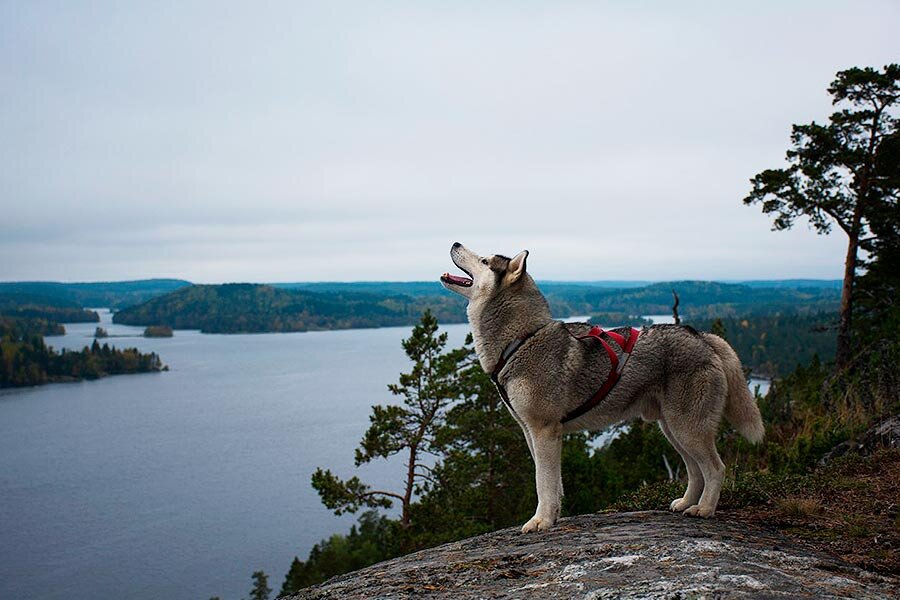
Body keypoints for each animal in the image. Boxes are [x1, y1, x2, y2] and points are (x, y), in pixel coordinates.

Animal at [440, 244, 764, 536]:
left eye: (484, 259)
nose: (454, 243)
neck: (520, 340)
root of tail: (704, 337)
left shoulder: (544, 431)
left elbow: (542, 482)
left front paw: (540, 521)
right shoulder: (531, 433)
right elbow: (551, 483)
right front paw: (553, 515)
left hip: (688, 429)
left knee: (716, 468)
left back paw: (705, 509)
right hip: (673, 430)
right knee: (695, 470)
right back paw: (685, 503)